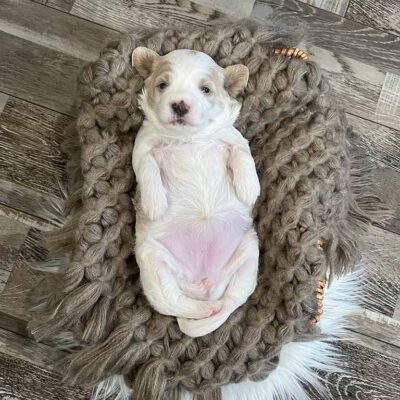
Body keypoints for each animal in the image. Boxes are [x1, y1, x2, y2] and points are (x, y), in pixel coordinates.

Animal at [133, 47, 260, 338]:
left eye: (205, 89)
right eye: (163, 85)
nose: (180, 105)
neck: (187, 137)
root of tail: (201, 287)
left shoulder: (233, 137)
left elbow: (243, 154)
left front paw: (249, 189)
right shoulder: (142, 146)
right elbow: (146, 168)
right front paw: (154, 203)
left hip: (249, 254)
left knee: (232, 300)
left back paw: (215, 308)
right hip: (153, 263)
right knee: (175, 302)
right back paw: (204, 310)